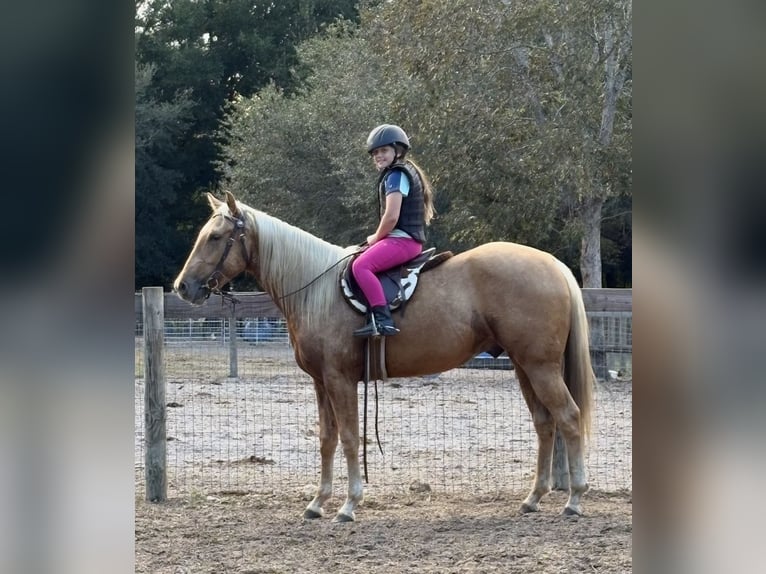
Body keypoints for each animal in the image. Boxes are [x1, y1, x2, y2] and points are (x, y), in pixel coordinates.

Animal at [174, 191, 595, 522]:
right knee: (545, 423)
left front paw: (349, 505)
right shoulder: (320, 382)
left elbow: (348, 437)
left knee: (569, 417)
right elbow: (326, 438)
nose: (183, 287)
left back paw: (574, 499)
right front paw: (317, 502)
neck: (315, 288)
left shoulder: (340, 379)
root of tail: (552, 264)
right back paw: (533, 498)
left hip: (540, 368)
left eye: (215, 237)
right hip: (525, 368)